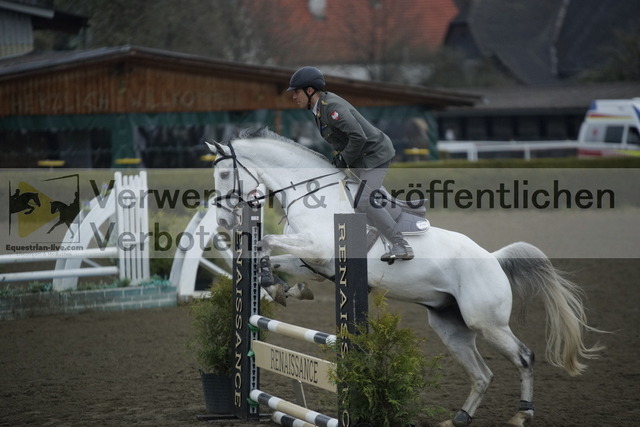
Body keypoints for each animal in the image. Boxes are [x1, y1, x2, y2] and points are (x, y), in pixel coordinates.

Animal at [206, 128, 604, 427]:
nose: (224, 221)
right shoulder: (313, 263)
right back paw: (458, 418)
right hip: (450, 326)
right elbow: (277, 259)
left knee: (524, 357)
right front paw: (285, 289)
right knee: (482, 374)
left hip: (486, 321)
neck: (311, 195)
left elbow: (267, 242)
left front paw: (280, 286)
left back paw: (522, 416)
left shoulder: (319, 250)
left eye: (224, 174)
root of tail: (493, 259)